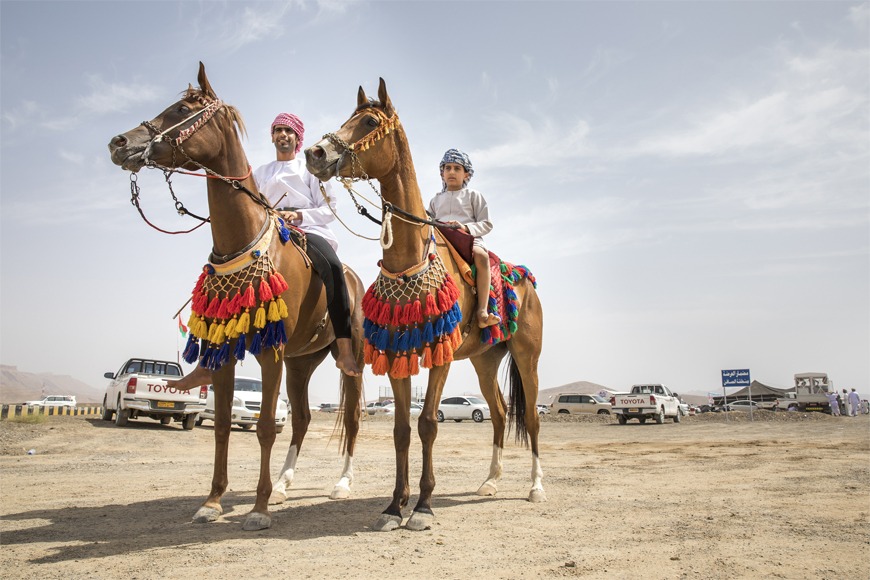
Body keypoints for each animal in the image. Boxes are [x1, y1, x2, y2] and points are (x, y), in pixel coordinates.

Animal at [108, 63, 364, 532]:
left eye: (182, 109)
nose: (120, 143)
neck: (242, 239)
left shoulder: (270, 352)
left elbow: (263, 426)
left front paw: (258, 510)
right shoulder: (229, 350)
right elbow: (224, 424)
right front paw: (212, 501)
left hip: (348, 357)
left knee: (351, 418)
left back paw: (339, 484)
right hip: (302, 361)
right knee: (302, 418)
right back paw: (283, 486)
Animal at [306, 79, 544, 532]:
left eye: (368, 122)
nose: (316, 153)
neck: (408, 259)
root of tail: (525, 281)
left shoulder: (440, 355)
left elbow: (429, 423)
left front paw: (422, 506)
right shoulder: (397, 354)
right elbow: (401, 428)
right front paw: (393, 506)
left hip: (526, 356)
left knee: (532, 418)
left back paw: (536, 487)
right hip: (485, 361)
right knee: (500, 413)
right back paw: (489, 482)